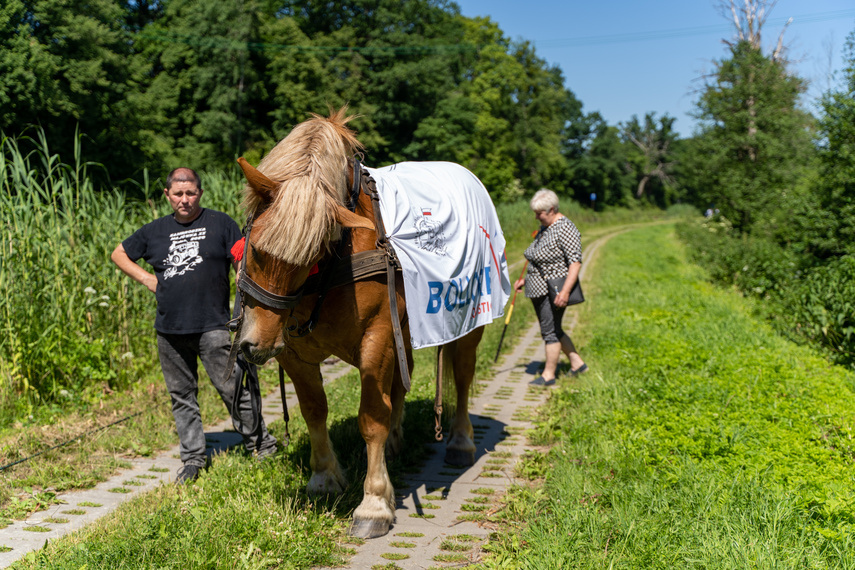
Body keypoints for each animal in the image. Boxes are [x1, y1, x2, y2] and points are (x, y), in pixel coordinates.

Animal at [236, 107, 494, 536]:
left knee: (461, 374)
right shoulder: (295, 352)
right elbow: (314, 410)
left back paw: (460, 441)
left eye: (311, 256)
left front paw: (373, 502)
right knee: (401, 384)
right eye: (254, 247)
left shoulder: (378, 336)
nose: (257, 345)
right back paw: (396, 441)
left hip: (468, 322)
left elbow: (371, 416)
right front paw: (324, 477)